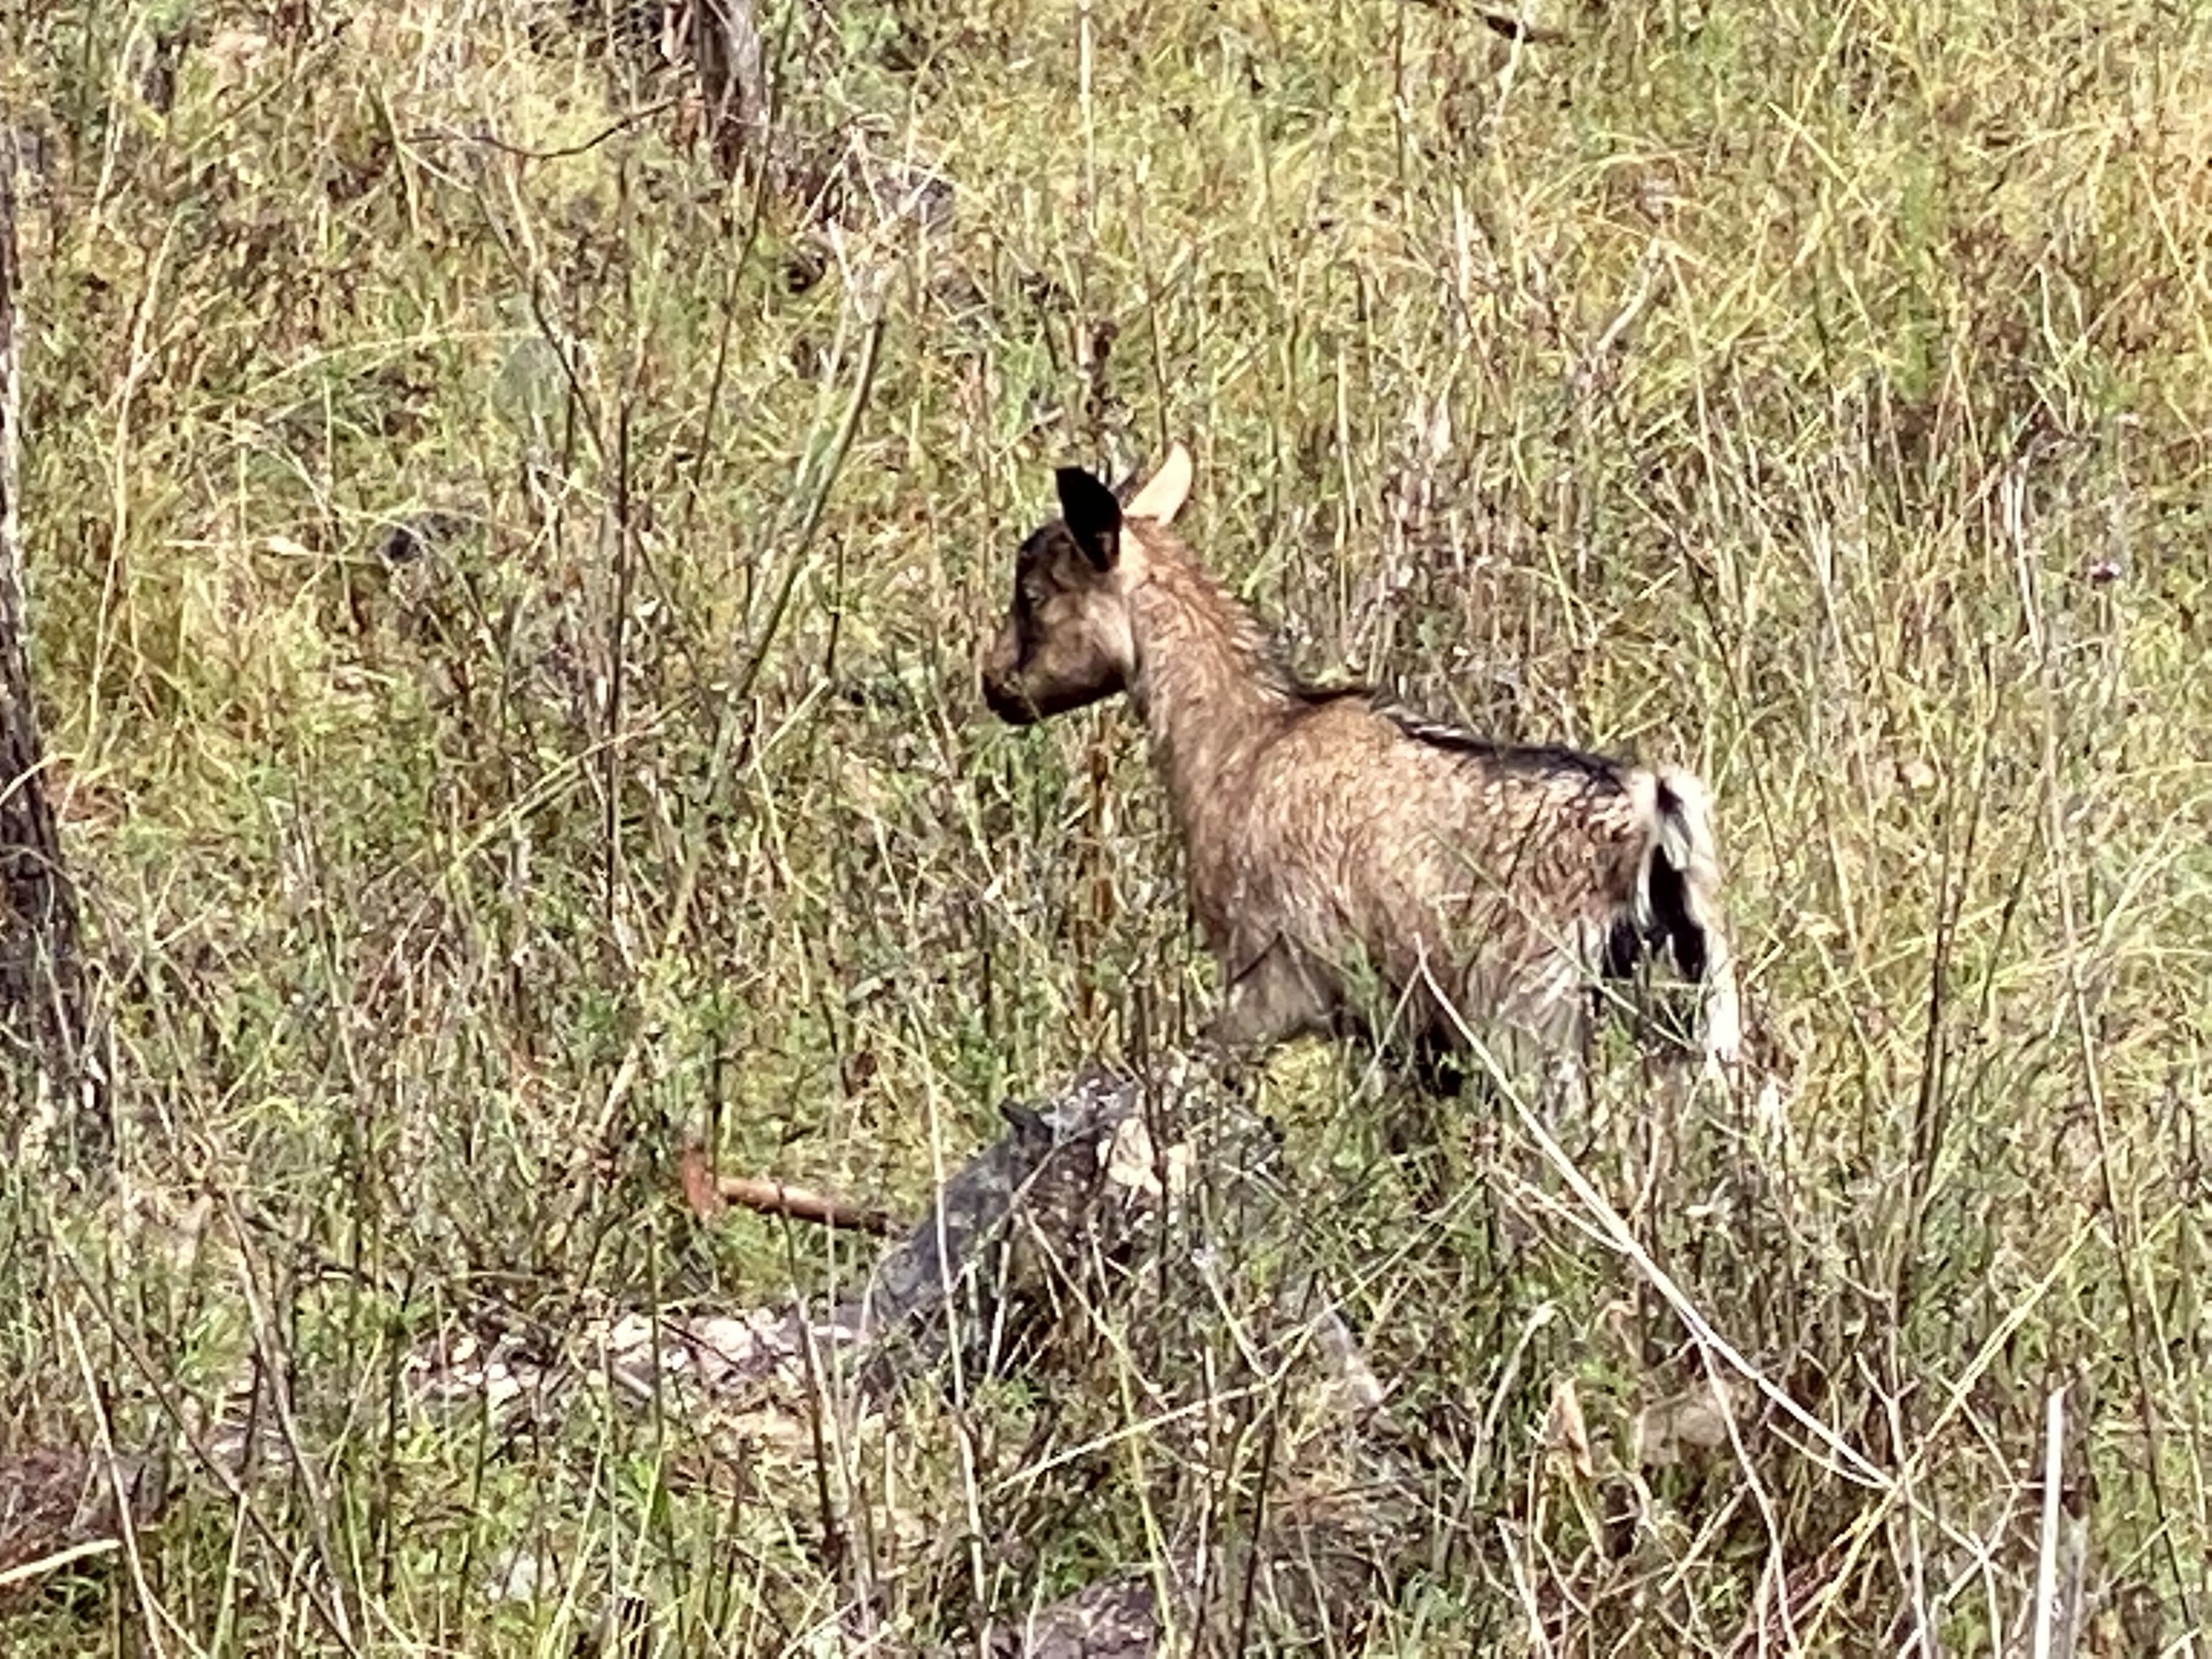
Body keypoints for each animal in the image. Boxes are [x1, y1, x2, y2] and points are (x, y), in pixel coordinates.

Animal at [979, 442, 1742, 1107]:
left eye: (1034, 594)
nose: (995, 684)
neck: (1244, 742)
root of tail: (1650, 814)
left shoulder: (1273, 980)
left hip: (1536, 1017)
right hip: (1700, 1007)